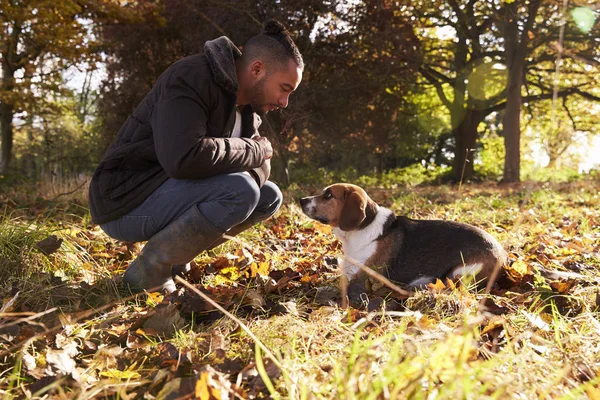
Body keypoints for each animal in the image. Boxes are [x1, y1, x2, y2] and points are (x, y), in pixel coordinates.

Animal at [300, 183, 506, 298]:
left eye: (328, 195)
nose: (301, 200)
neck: (362, 228)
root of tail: (503, 256)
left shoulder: (362, 277)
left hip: (460, 273)